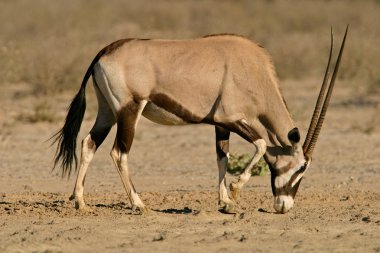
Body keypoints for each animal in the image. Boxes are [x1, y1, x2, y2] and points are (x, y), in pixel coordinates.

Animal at [52, 27, 348, 213]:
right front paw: (235, 190)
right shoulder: (230, 119)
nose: (284, 207)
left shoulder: (220, 125)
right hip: (129, 110)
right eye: (301, 168)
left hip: (107, 112)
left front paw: (225, 202)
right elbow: (262, 144)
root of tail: (104, 52)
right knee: (118, 152)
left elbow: (222, 158)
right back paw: (138, 204)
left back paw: (80, 202)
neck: (253, 71)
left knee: (88, 144)